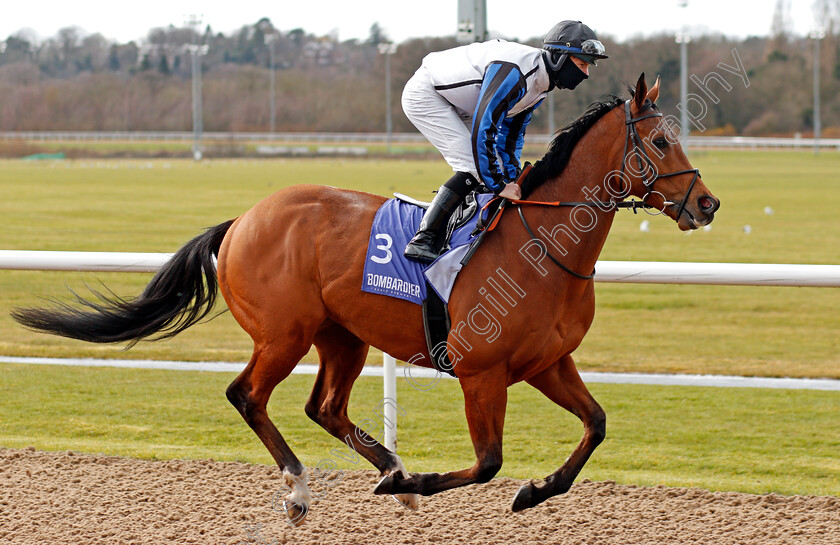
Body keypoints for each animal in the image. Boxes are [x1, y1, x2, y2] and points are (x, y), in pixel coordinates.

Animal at [13, 74, 720, 524]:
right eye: (661, 142)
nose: (708, 203)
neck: (541, 241)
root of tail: (242, 220)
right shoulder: (481, 371)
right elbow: (487, 461)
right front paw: (428, 482)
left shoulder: (547, 363)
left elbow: (596, 424)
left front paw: (535, 491)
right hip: (284, 333)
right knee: (247, 395)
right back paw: (306, 490)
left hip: (342, 336)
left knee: (323, 406)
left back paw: (388, 470)